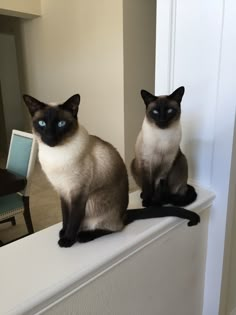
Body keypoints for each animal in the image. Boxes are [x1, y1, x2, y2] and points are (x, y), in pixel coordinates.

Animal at [24, 92, 200, 248]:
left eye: (61, 124)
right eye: (42, 124)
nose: (49, 138)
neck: (56, 155)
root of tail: (124, 213)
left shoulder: (78, 194)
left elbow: (73, 219)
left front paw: (67, 240)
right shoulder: (63, 192)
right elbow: (65, 216)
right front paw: (63, 232)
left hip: (94, 202)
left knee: (116, 228)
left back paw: (84, 236)